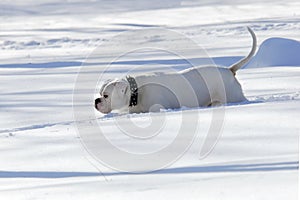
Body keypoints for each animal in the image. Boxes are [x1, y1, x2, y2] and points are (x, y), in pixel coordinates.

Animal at [95, 27, 256, 113]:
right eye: (100, 94)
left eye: (106, 95)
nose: (96, 100)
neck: (137, 91)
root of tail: (229, 70)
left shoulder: (158, 107)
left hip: (232, 96)